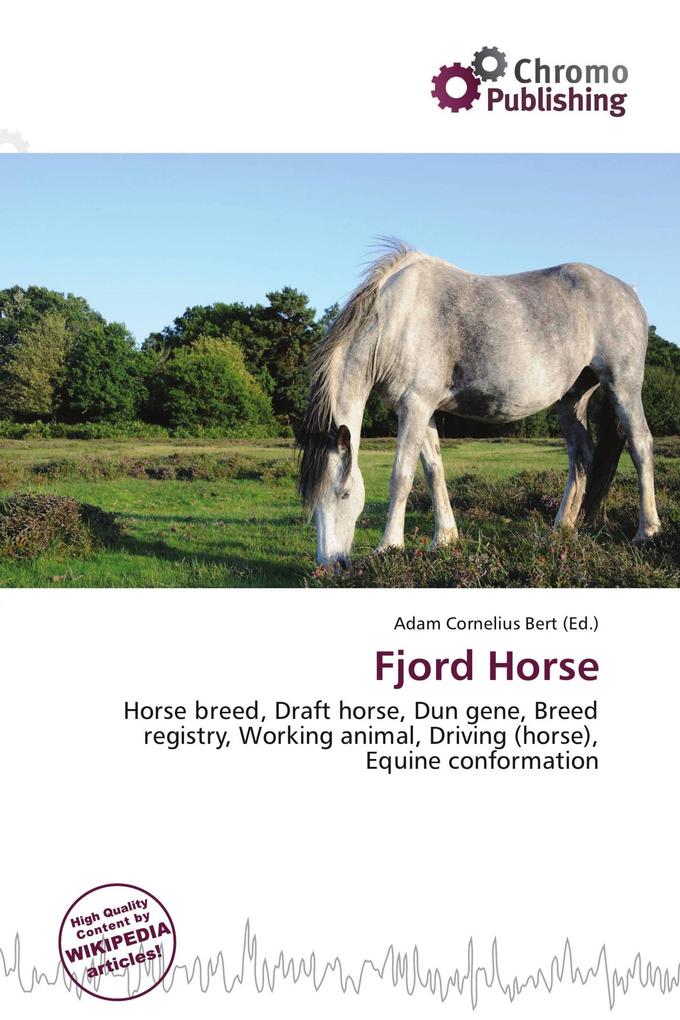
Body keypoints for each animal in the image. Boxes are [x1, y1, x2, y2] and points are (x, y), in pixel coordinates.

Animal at [298, 240, 661, 566]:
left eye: (344, 493)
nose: (330, 565)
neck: (396, 320)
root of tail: (628, 291)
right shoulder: (423, 409)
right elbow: (434, 469)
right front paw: (444, 539)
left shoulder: (414, 405)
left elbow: (402, 476)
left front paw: (388, 547)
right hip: (571, 399)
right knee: (581, 456)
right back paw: (561, 529)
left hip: (623, 385)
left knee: (640, 444)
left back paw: (647, 532)